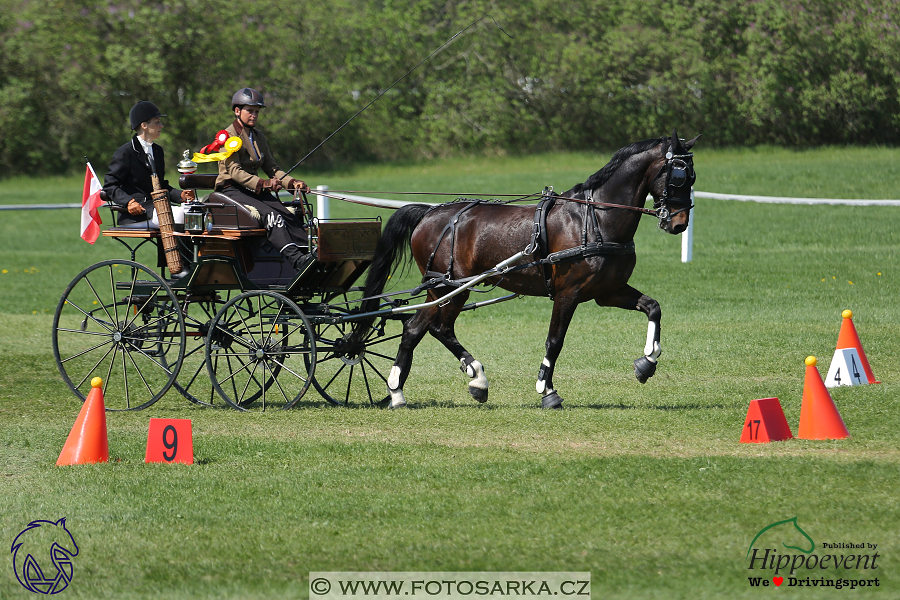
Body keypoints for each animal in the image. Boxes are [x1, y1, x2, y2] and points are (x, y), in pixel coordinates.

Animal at [352, 132, 696, 410]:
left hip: (446, 288)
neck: (594, 219)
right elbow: (554, 340)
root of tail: (429, 212)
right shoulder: (568, 293)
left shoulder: (608, 291)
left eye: (693, 177)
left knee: (423, 328)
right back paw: (454, 381)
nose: (679, 224)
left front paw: (647, 362)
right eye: (679, 176)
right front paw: (547, 390)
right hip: (448, 286)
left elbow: (653, 307)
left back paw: (422, 387)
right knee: (429, 327)